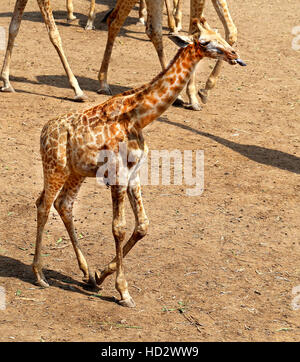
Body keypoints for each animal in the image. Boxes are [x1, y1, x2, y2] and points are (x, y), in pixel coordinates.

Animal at [32, 17, 246, 308]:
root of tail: (44, 131)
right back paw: (40, 275)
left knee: (63, 204)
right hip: (55, 167)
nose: (234, 54)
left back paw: (86, 274)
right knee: (44, 205)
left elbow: (143, 225)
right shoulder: (118, 174)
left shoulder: (134, 174)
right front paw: (123, 291)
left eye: (219, 35)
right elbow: (119, 228)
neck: (138, 117)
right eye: (204, 41)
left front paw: (101, 275)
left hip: (76, 172)